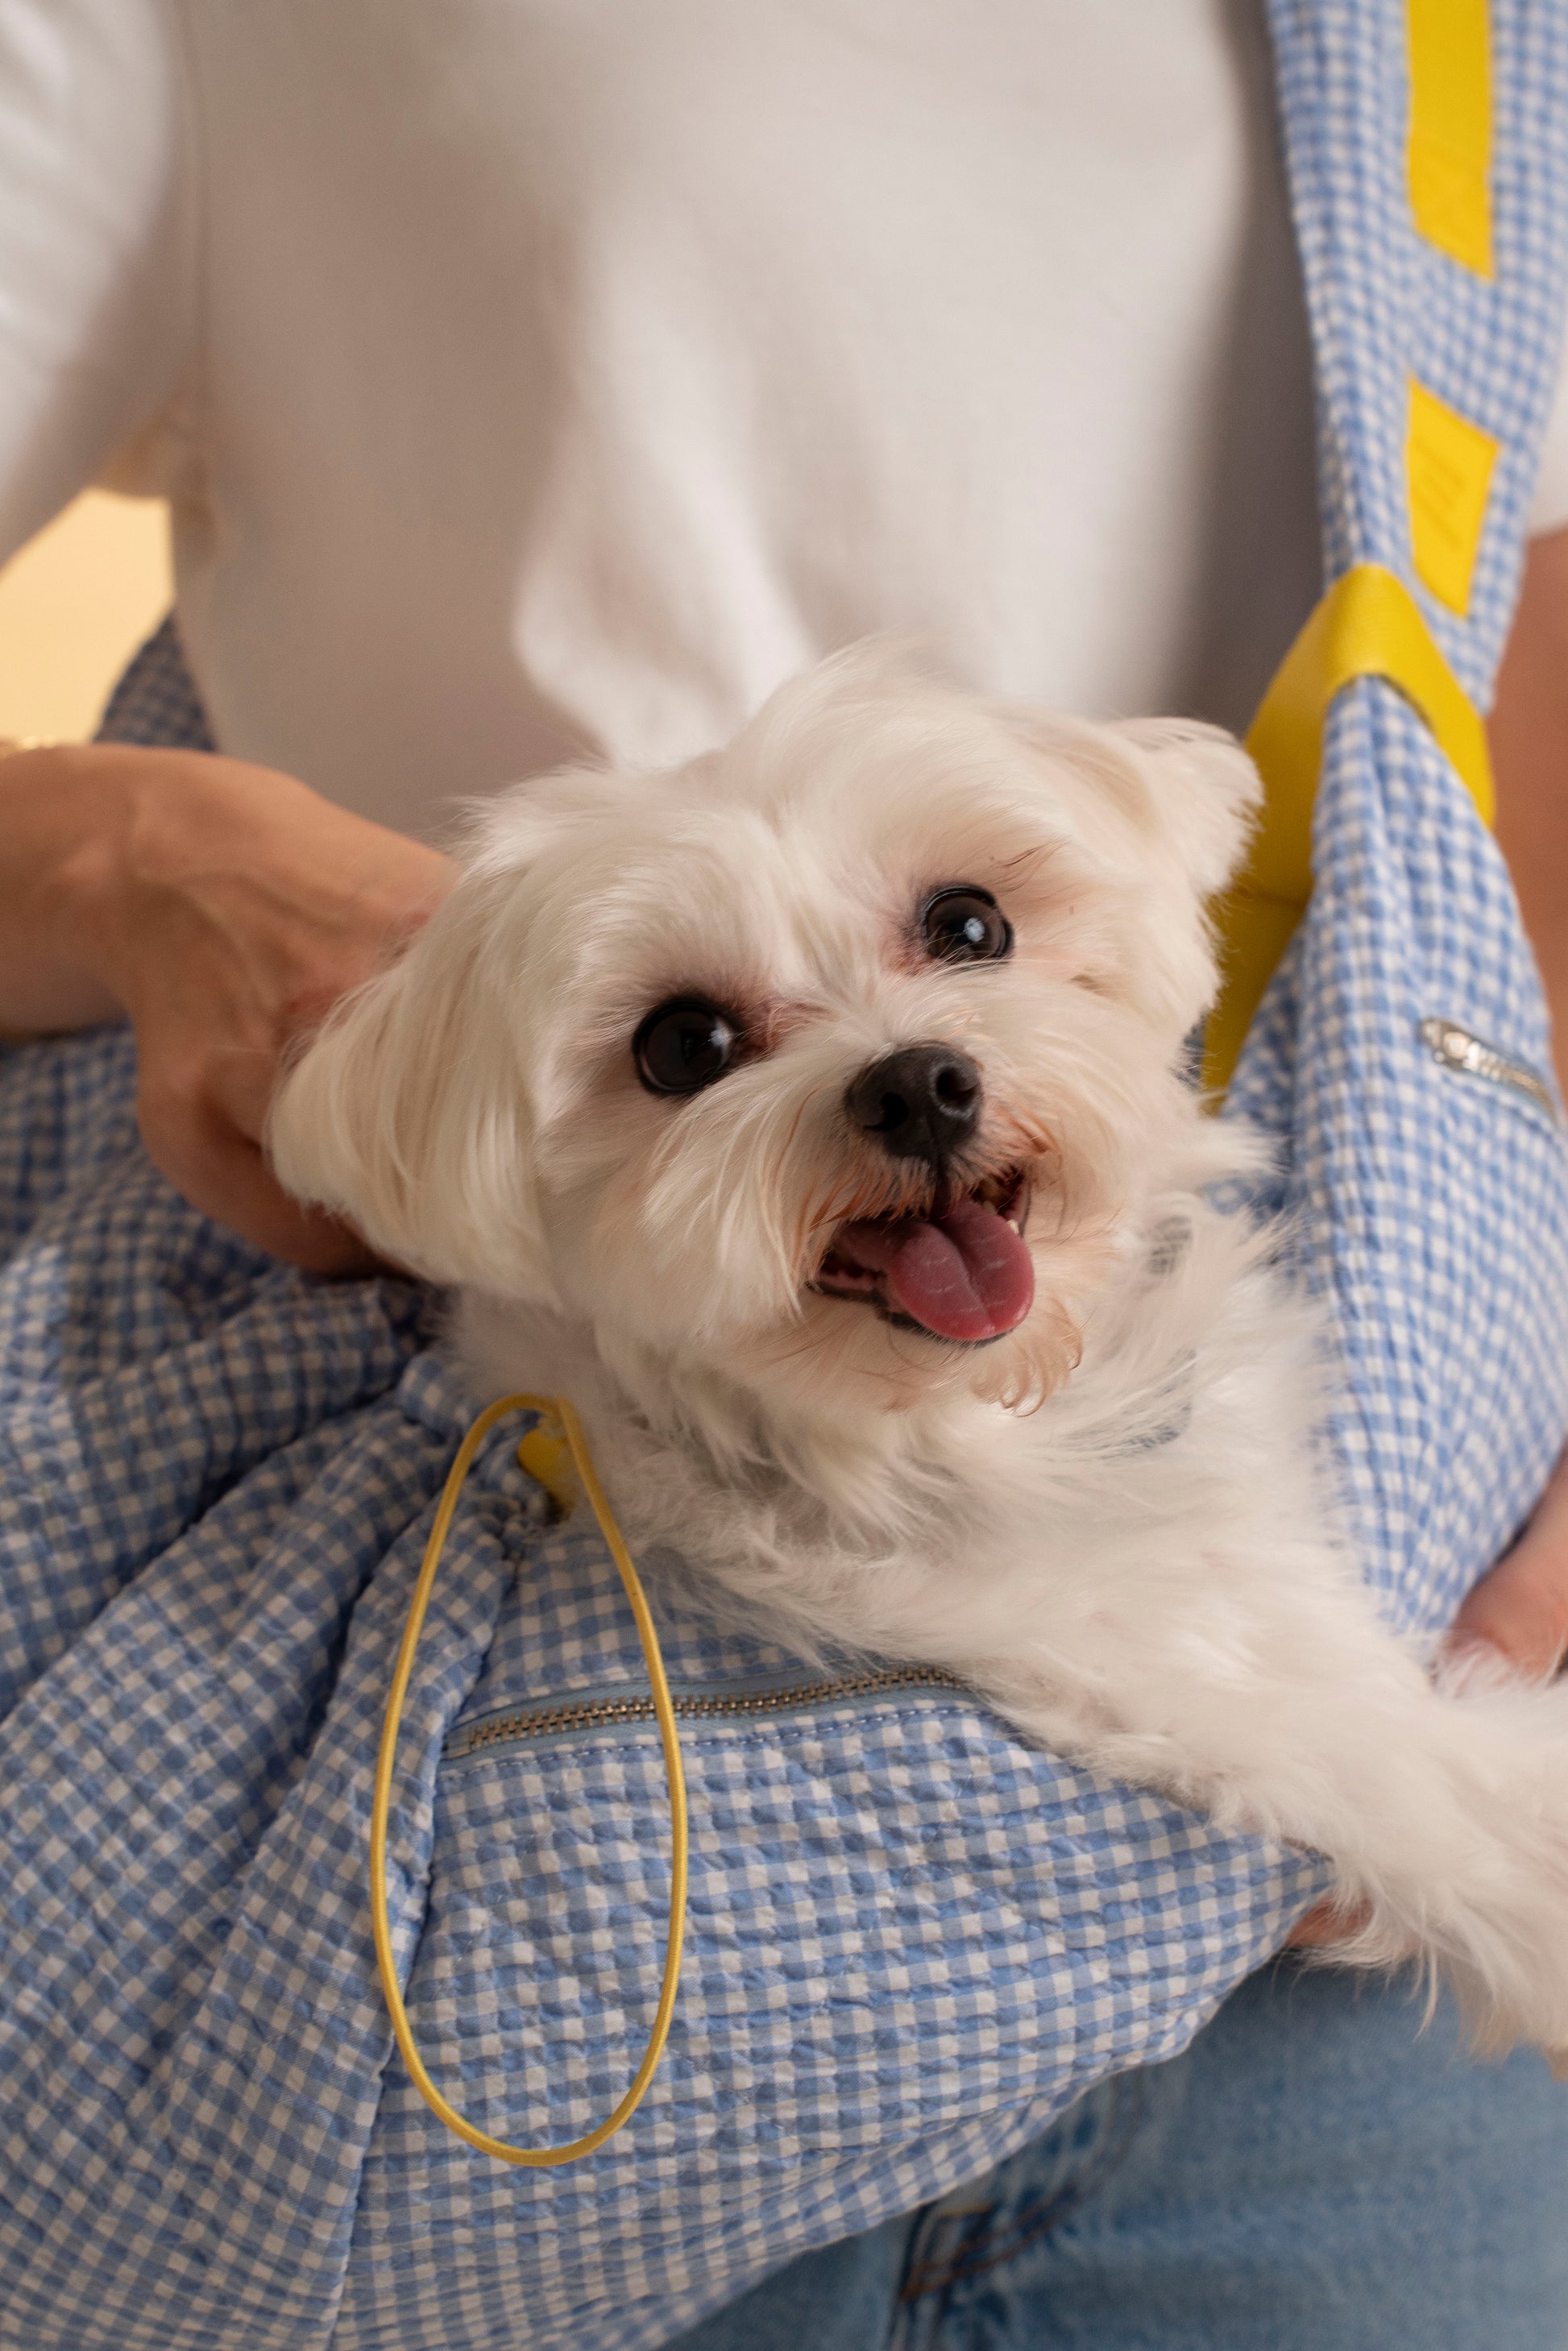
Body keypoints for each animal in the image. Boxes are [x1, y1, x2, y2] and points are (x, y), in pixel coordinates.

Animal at [270, 653, 1568, 2050]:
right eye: (681, 1045)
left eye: (968, 925)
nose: (915, 1083)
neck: (966, 1419)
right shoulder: (1101, 1637)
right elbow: (1386, 1761)